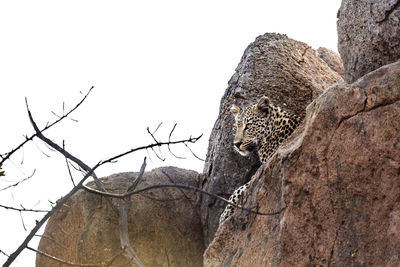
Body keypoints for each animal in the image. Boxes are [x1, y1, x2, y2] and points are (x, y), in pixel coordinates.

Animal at [220, 95, 302, 225]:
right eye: (235, 128)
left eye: (248, 126)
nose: (236, 144)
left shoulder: (266, 168)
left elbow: (238, 190)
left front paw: (224, 215)